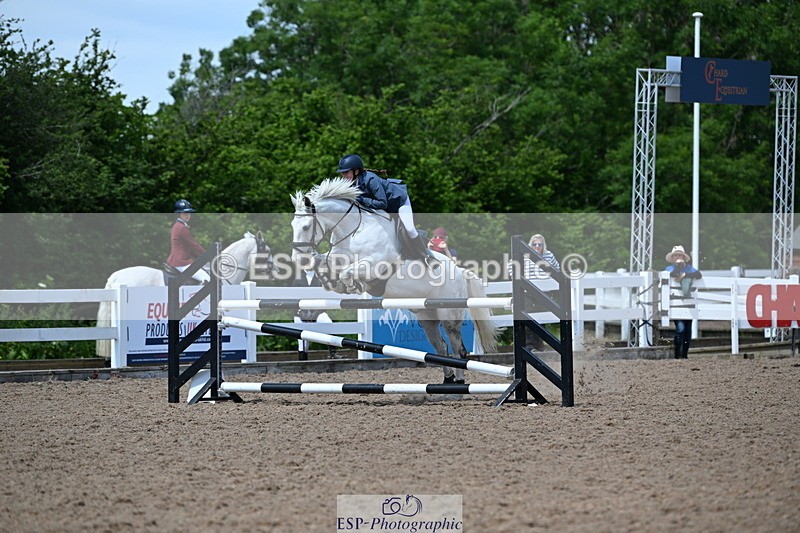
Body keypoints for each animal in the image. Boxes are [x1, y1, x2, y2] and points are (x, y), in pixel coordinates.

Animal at [290, 178, 499, 384]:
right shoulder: (337, 257)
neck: (354, 230)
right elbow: (324, 262)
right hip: (427, 316)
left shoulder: (374, 264)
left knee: (458, 350)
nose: (298, 259)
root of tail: (461, 272)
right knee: (441, 347)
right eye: (293, 225)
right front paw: (330, 281)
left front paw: (351, 285)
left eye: (306, 227)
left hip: (449, 315)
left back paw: (459, 382)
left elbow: (348, 273)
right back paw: (447, 380)